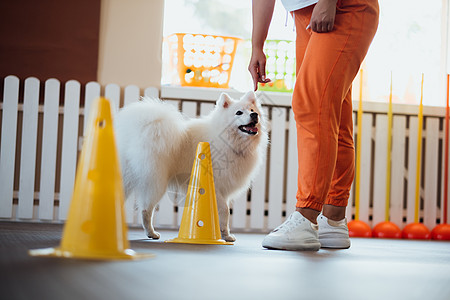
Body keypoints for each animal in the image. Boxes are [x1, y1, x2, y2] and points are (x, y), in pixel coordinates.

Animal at [114, 91, 268, 241]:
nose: (254, 115)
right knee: (146, 210)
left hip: (126, 179)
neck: (229, 141)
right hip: (156, 182)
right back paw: (151, 233)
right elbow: (225, 211)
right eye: (238, 113)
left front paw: (224, 234)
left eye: (253, 110)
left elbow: (222, 215)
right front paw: (225, 235)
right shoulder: (216, 186)